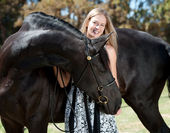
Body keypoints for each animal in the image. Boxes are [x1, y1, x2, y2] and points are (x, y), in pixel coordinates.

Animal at [0, 11, 169, 132]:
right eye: (102, 68)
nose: (117, 102)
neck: (14, 77)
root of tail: (161, 43)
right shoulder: (9, 122)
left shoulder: (37, 121)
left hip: (145, 106)